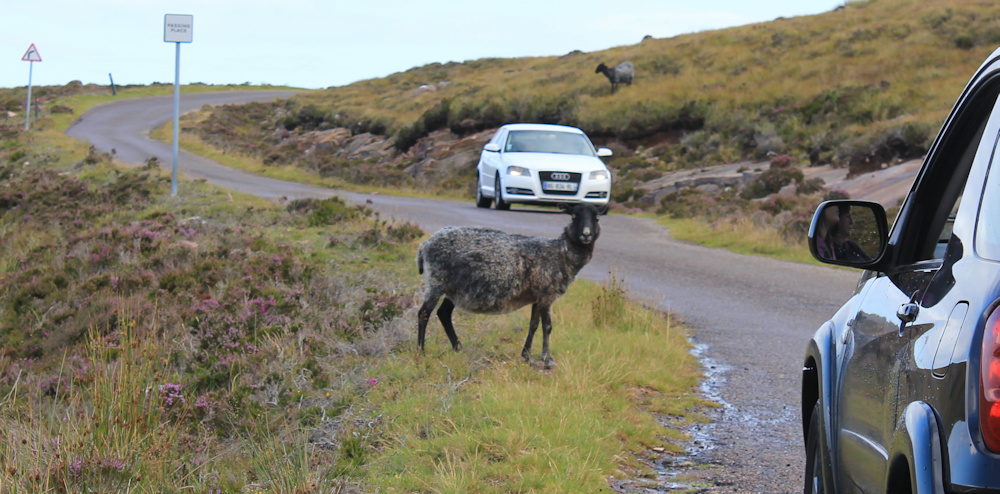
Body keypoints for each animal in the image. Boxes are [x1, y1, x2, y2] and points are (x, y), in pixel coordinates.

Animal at [415, 203, 601, 369]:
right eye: (574, 216)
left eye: (597, 217)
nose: (586, 234)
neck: (562, 253)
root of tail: (424, 245)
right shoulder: (547, 294)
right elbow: (547, 326)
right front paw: (547, 359)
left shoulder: (537, 296)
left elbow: (533, 324)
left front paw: (527, 357)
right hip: (436, 280)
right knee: (424, 313)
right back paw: (421, 352)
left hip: (453, 288)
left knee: (443, 313)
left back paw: (458, 348)